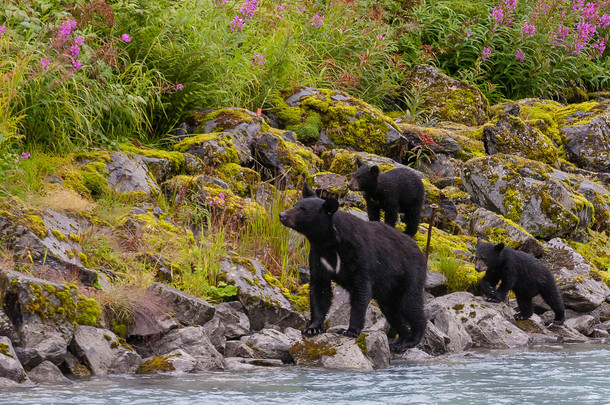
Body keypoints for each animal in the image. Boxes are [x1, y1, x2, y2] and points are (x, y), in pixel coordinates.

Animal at [278, 185, 426, 350]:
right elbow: (320, 288)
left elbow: (360, 290)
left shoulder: (360, 255)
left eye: (303, 209)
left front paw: (351, 330)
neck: (329, 243)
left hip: (409, 274)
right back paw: (401, 339)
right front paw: (312, 328)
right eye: (295, 205)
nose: (282, 215)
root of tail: (420, 251)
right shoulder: (318, 256)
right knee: (391, 310)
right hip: (388, 290)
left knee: (410, 304)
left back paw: (411, 339)